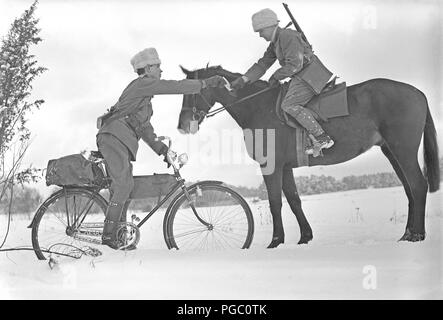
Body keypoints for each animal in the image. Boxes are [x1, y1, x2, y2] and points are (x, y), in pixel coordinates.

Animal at [177, 65, 440, 248]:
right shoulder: (285, 167)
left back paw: (416, 235)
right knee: (410, 189)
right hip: (392, 152)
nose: (182, 125)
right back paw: (408, 233)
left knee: (418, 186)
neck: (258, 107)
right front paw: (305, 237)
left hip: (402, 150)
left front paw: (275, 241)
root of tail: (417, 92)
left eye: (194, 91)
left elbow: (275, 203)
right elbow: (294, 200)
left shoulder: (271, 166)